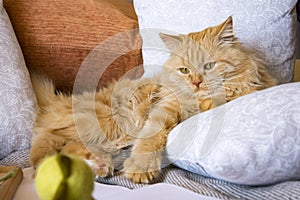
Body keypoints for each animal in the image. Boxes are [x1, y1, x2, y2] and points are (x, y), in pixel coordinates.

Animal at [30, 16, 276, 183]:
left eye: (209, 66)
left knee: (66, 145)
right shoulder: (164, 109)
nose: (197, 82)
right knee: (43, 145)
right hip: (103, 122)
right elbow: (150, 139)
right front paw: (141, 167)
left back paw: (101, 165)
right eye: (185, 70)